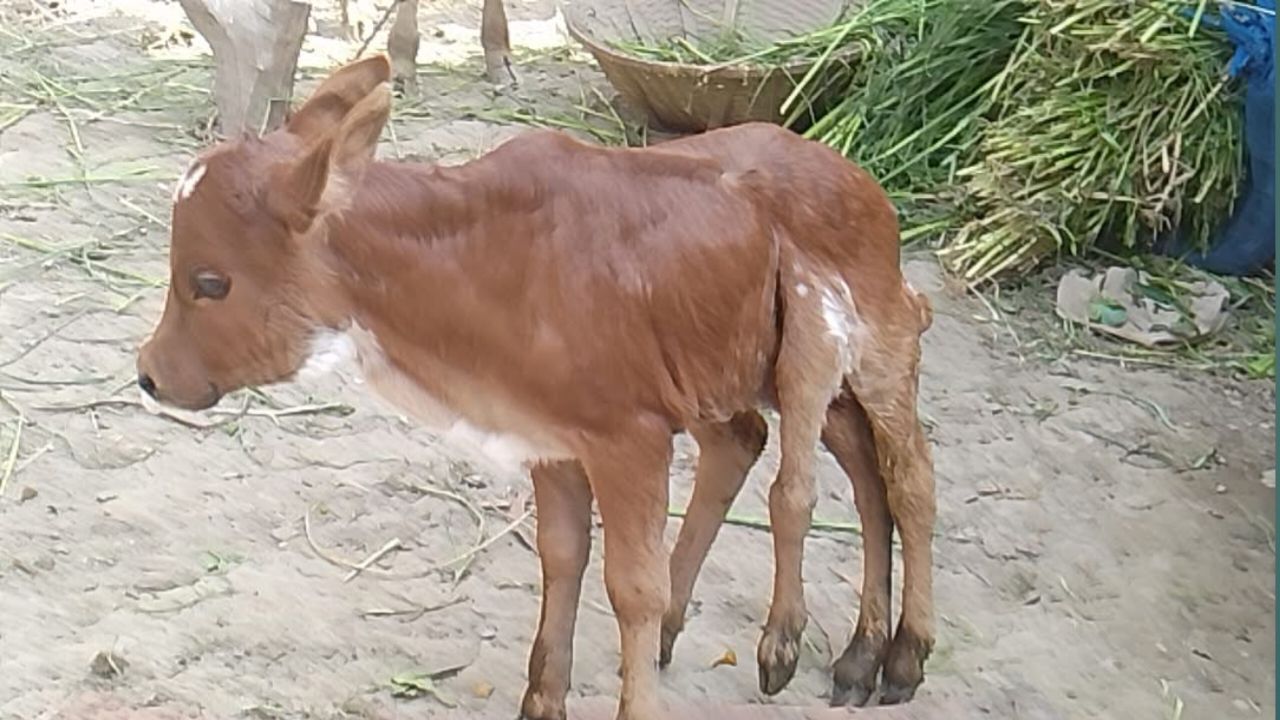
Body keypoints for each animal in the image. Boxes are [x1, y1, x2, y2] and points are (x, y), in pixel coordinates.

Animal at [137, 53, 942, 712]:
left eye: (210, 282)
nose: (148, 376)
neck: (488, 265)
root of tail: (858, 180)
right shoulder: (553, 439)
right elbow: (562, 557)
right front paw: (543, 698)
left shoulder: (629, 438)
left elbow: (632, 586)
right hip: (764, 371)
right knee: (812, 458)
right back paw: (850, 654)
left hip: (879, 347)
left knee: (906, 479)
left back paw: (899, 656)